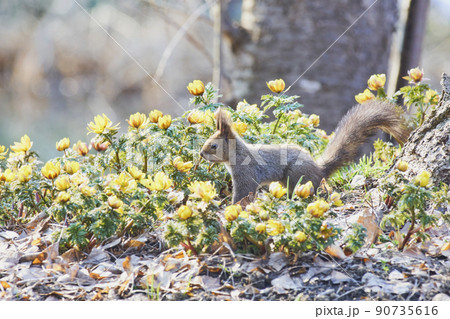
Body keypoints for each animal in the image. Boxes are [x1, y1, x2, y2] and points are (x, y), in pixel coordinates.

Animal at [200, 100, 412, 204]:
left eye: (213, 146)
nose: (201, 154)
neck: (239, 154)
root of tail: (319, 169)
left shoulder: (246, 174)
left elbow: (243, 193)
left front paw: (233, 207)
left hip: (296, 176)